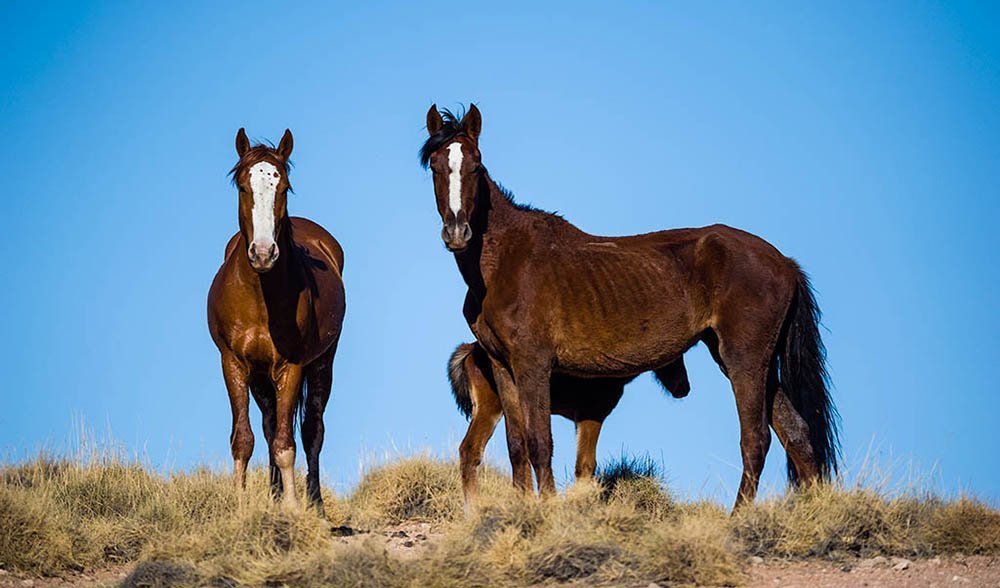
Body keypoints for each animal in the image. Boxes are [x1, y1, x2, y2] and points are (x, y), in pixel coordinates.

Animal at [207, 128, 346, 514]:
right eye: (243, 187)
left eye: (283, 188)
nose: (264, 253)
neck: (259, 296)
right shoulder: (233, 364)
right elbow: (245, 439)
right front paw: (241, 505)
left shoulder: (291, 366)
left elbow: (287, 443)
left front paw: (294, 507)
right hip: (259, 377)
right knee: (269, 427)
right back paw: (273, 493)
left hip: (322, 365)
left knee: (312, 430)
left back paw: (315, 503)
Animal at [448, 341, 691, 507]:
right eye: (674, 359)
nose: (683, 387)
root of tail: (469, 351)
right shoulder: (591, 414)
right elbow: (586, 464)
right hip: (489, 407)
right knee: (470, 449)